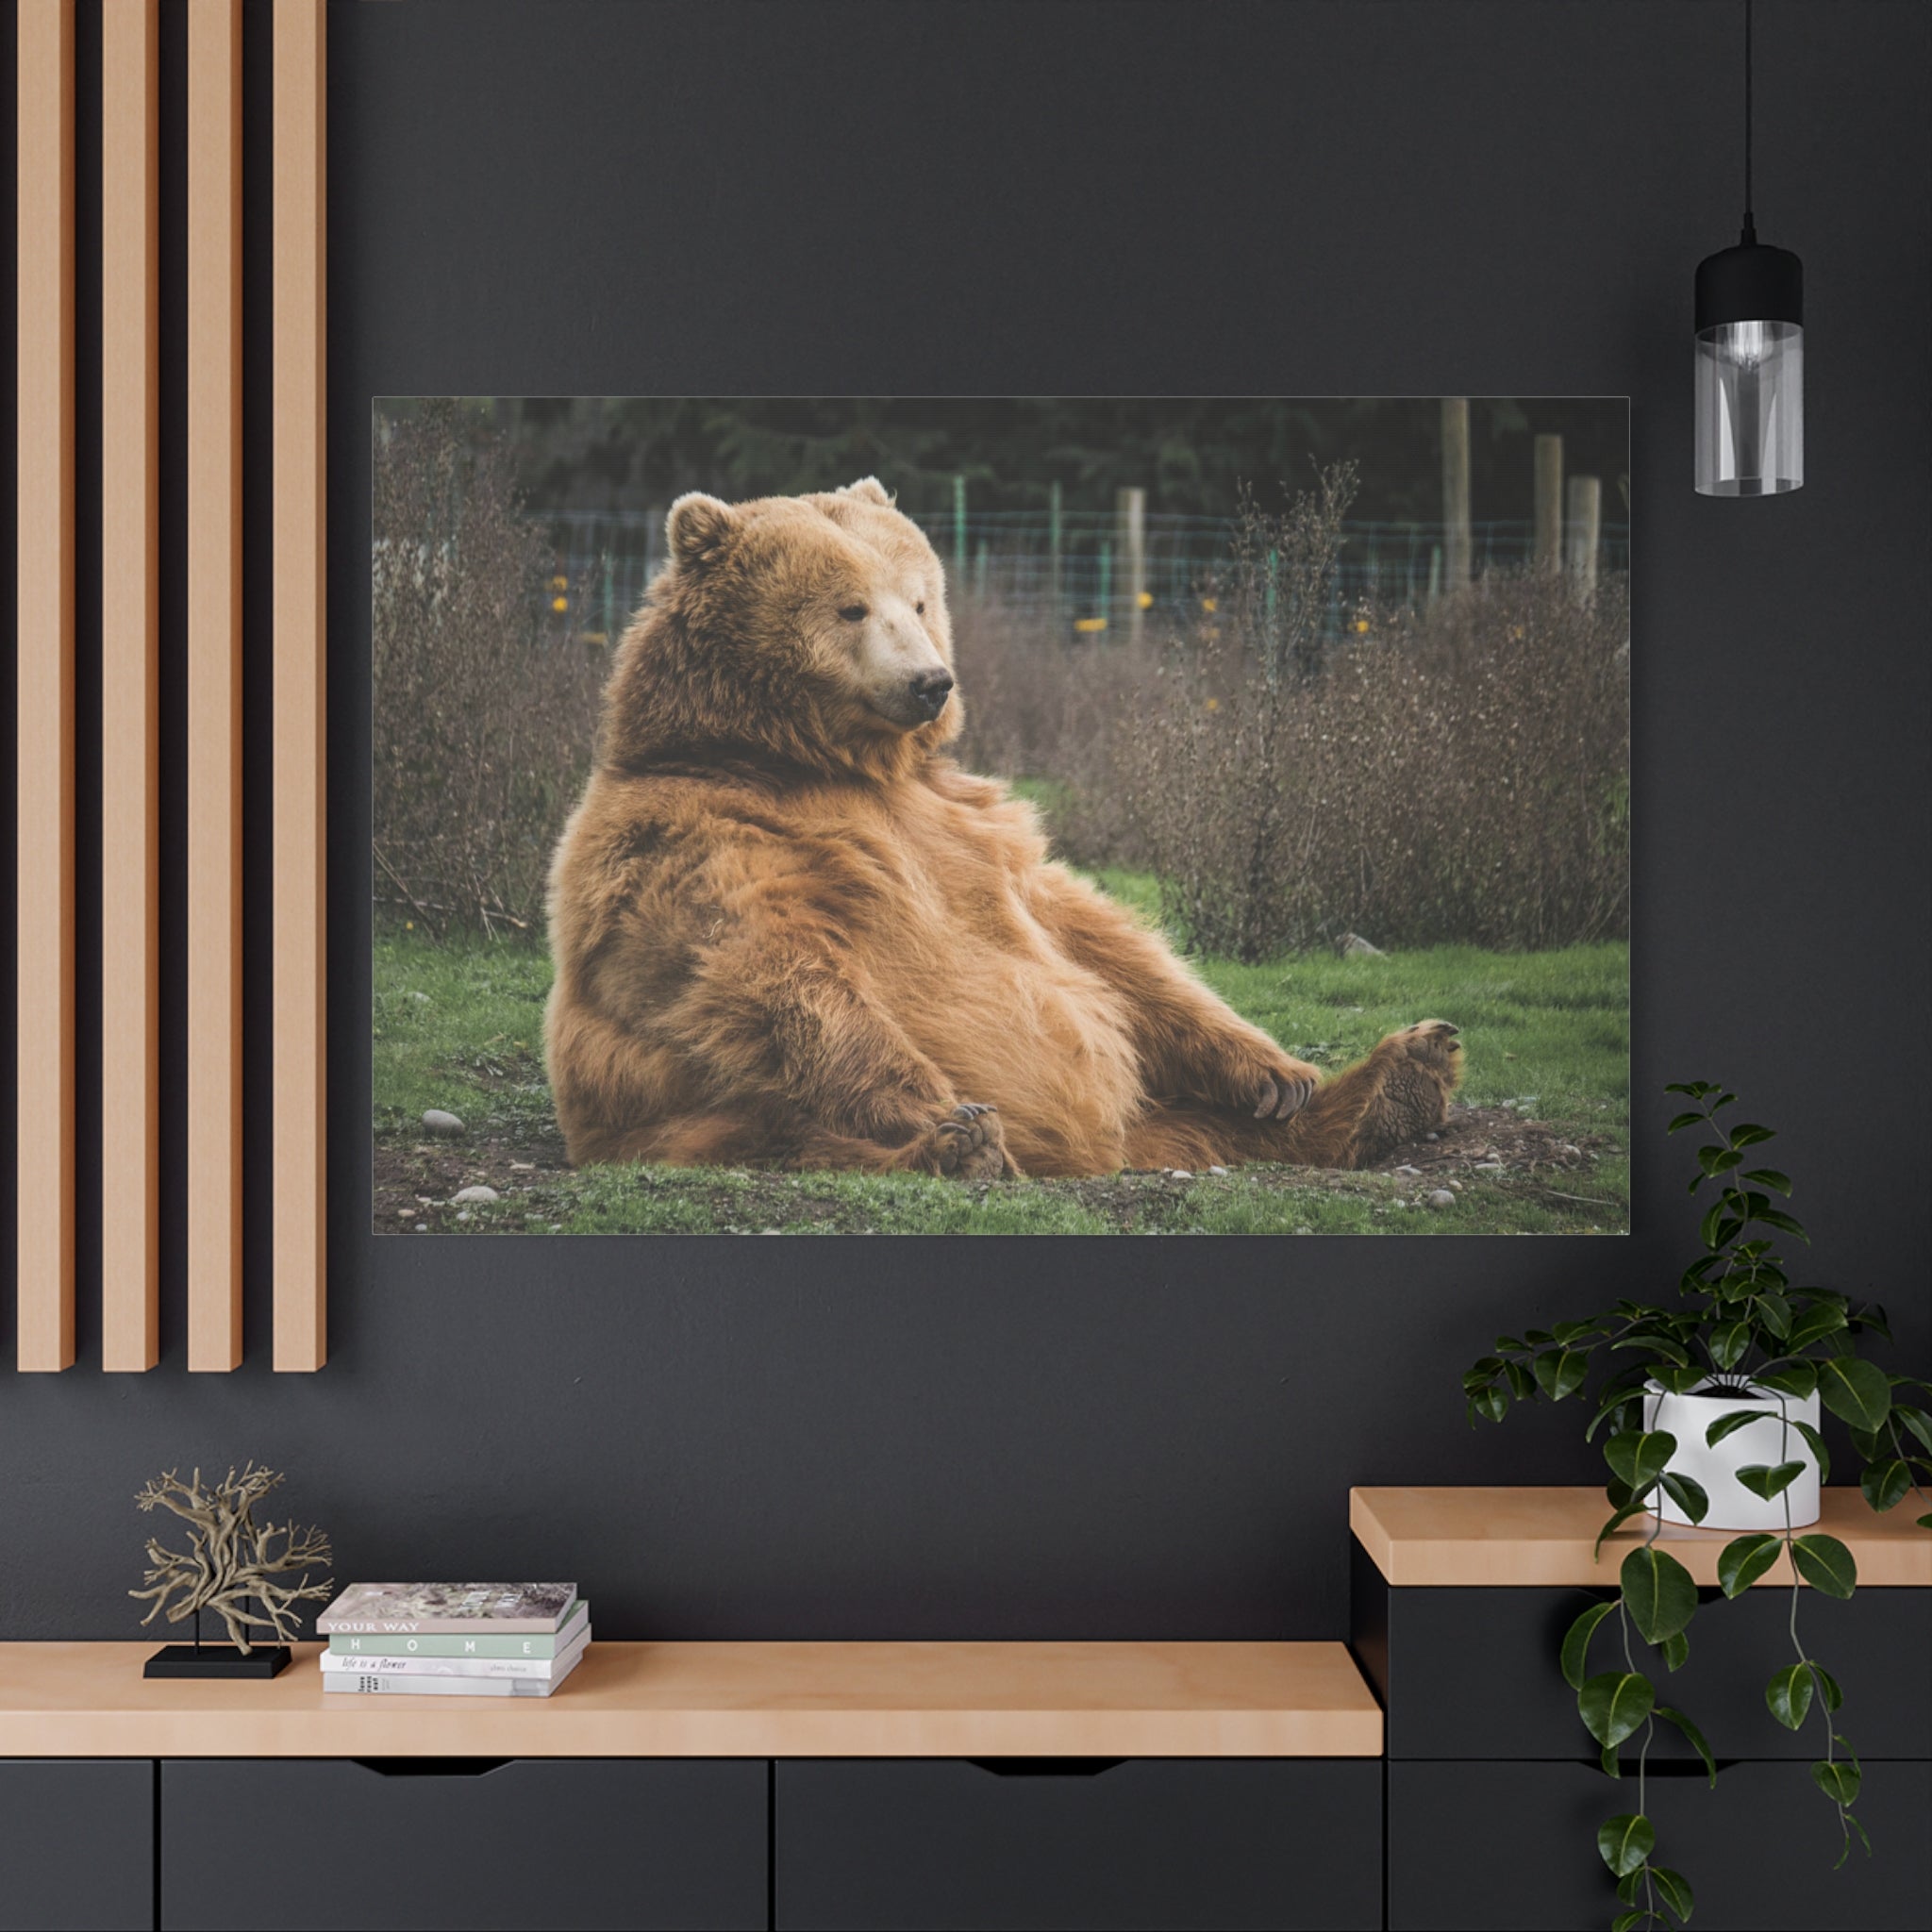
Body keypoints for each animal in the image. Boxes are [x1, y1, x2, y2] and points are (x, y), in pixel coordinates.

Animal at [543, 477, 1461, 1181]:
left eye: (919, 598)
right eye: (850, 608)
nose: (930, 681)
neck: (817, 762)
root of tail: (1100, 1153)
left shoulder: (969, 826)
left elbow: (1097, 937)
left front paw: (1277, 1071)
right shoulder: (697, 837)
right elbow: (770, 969)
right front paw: (946, 1111)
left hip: (1158, 1112)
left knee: (1210, 1122)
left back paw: (1398, 1078)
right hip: (687, 1116)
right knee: (794, 1133)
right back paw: (961, 1147)